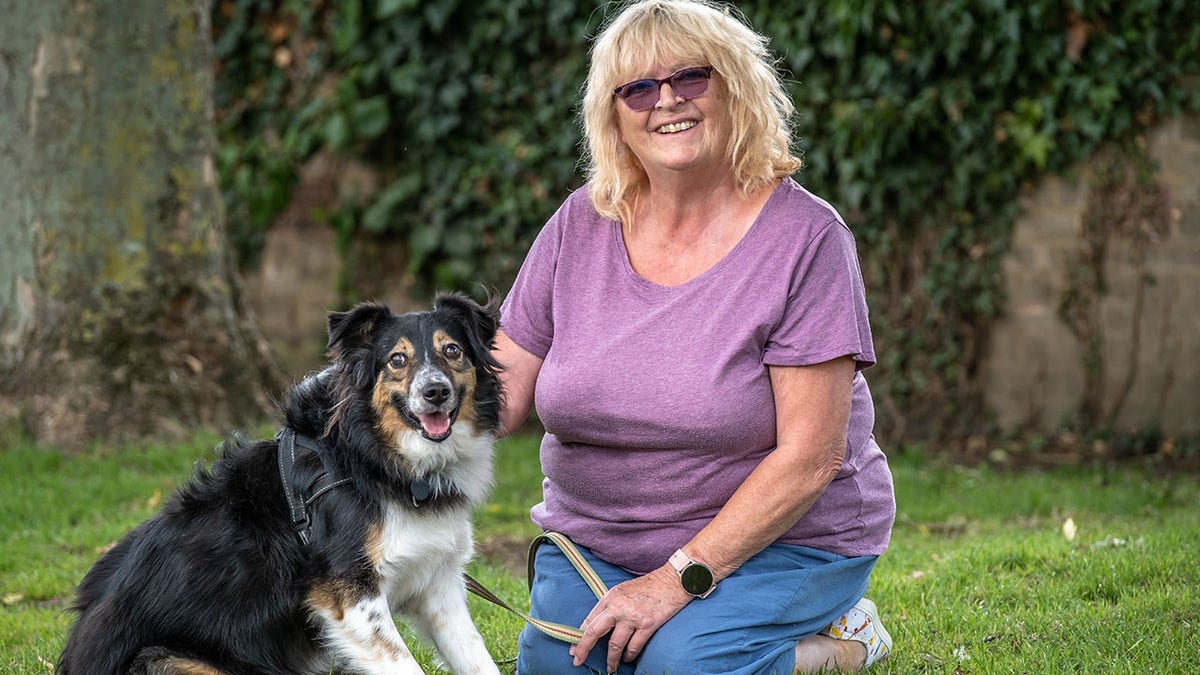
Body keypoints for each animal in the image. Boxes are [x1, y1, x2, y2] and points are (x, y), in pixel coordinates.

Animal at [58, 294, 506, 672]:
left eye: (453, 351)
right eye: (397, 359)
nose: (435, 392)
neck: (375, 456)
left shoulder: (438, 582)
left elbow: (475, 655)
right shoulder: (348, 594)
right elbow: (403, 662)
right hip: (168, 659)